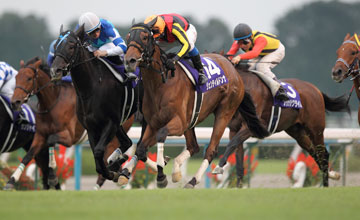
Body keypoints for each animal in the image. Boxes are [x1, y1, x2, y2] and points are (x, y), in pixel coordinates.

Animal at [122, 23, 268, 189]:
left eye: (145, 37)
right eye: (128, 37)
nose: (129, 60)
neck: (160, 85)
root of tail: (232, 68)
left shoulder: (178, 123)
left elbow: (161, 135)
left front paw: (161, 175)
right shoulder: (153, 123)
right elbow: (140, 148)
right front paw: (129, 171)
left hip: (224, 112)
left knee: (211, 149)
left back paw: (192, 180)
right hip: (192, 119)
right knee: (193, 146)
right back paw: (176, 171)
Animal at [214, 65, 348, 187]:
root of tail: (316, 90)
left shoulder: (251, 127)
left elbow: (232, 144)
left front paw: (218, 166)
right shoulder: (234, 129)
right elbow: (238, 158)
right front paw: (238, 186)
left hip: (315, 129)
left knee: (323, 154)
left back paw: (326, 184)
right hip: (297, 132)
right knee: (314, 153)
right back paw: (332, 175)